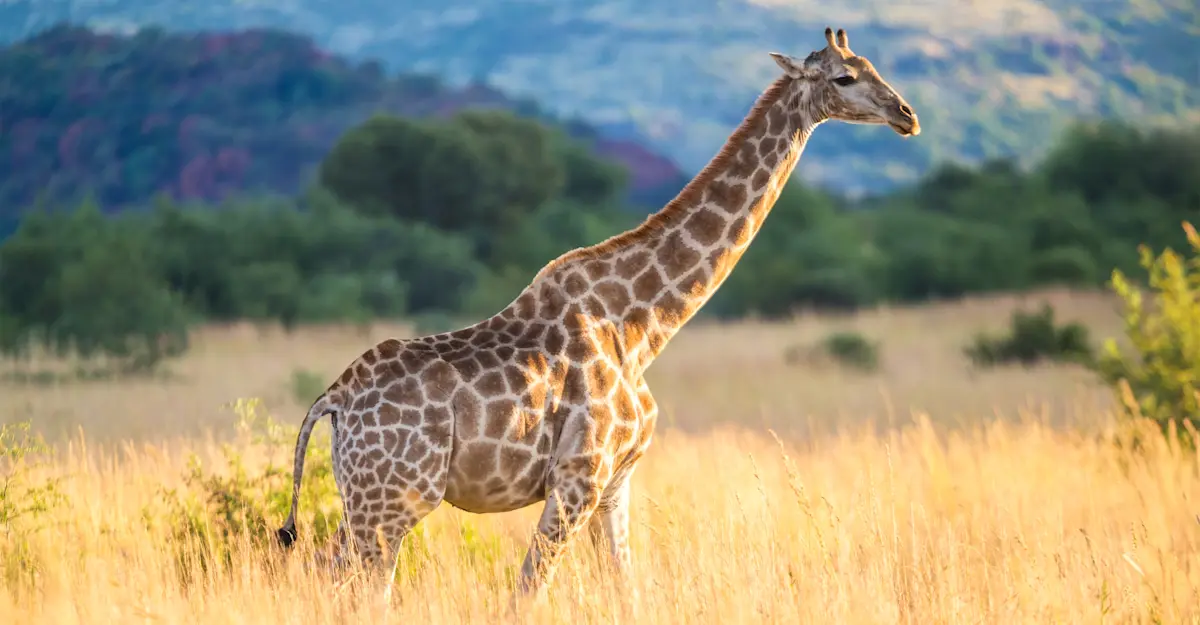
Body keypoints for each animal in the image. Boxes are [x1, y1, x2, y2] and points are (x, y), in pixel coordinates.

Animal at [276, 25, 920, 599]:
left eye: (871, 65)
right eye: (844, 77)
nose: (907, 115)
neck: (641, 326)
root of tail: (333, 399)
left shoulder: (616, 482)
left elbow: (623, 587)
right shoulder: (577, 478)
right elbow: (528, 591)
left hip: (365, 499)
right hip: (393, 501)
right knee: (353, 585)